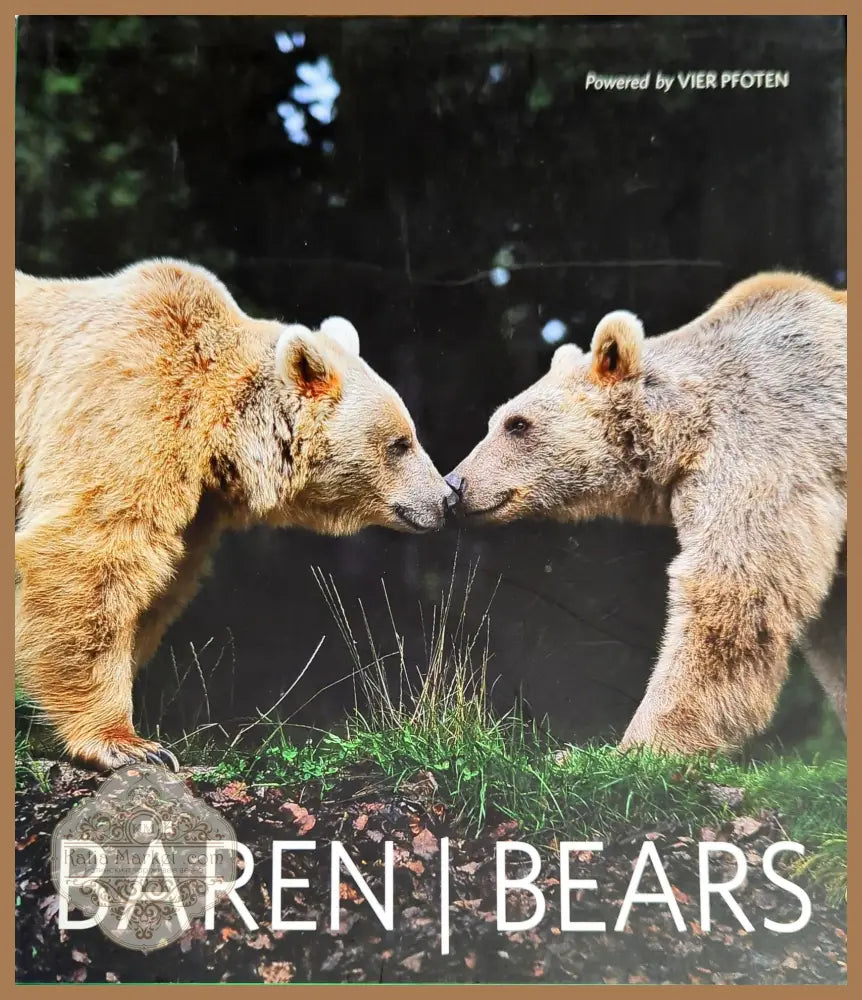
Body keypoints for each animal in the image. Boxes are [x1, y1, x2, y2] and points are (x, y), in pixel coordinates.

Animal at [15, 258, 454, 771]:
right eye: (399, 443)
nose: (445, 498)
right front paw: (128, 742)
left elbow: (155, 589)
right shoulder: (129, 404)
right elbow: (92, 549)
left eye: (410, 434)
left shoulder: (197, 509)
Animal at [445, 272, 846, 754]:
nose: (454, 486)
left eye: (517, 424)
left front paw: (641, 745)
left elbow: (730, 588)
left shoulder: (765, 448)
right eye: (495, 421)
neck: (686, 430)